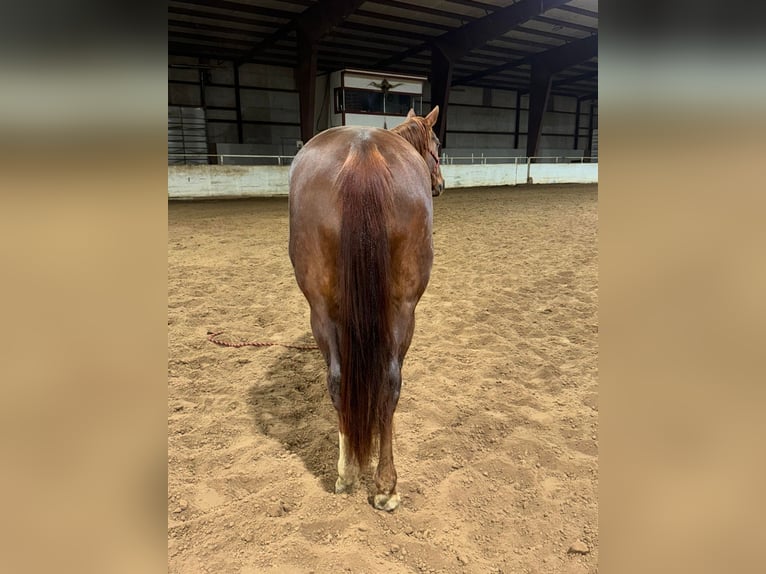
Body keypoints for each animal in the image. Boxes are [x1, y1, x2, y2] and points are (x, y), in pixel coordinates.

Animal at [286, 108, 444, 512]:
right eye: (437, 146)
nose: (440, 184)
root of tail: (362, 152)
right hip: (403, 311)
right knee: (389, 384)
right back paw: (386, 487)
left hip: (321, 311)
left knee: (338, 380)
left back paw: (347, 473)